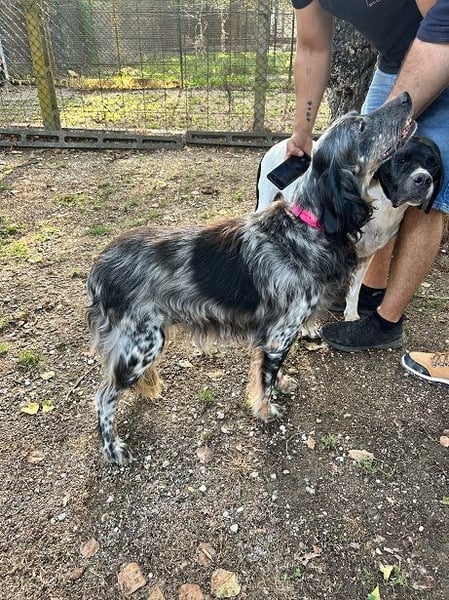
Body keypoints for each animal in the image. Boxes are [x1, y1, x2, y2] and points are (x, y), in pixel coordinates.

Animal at [87, 92, 415, 464]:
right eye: (360, 126)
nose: (406, 97)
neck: (304, 226)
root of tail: (99, 267)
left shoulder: (276, 336)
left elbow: (271, 373)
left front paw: (282, 383)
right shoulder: (279, 335)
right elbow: (265, 380)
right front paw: (265, 410)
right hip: (142, 344)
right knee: (103, 397)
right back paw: (113, 448)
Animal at [257, 135, 442, 321]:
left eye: (434, 164)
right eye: (401, 159)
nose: (423, 179)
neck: (384, 208)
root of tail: (283, 142)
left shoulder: (366, 256)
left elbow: (354, 290)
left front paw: (351, 315)